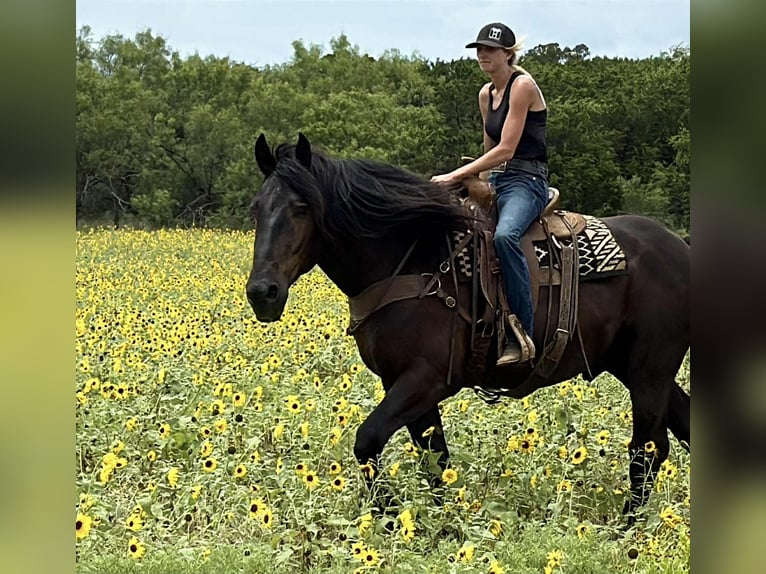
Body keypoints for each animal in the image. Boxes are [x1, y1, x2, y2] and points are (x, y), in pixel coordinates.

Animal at [245, 133, 690, 521]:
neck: (411, 263)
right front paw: (441, 527)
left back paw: (626, 529)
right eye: (256, 208)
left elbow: (368, 441)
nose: (262, 292)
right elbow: (434, 458)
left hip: (650, 372)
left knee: (648, 449)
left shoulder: (427, 379)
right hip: (637, 369)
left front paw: (388, 519)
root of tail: (682, 248)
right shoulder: (401, 383)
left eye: (301, 207)